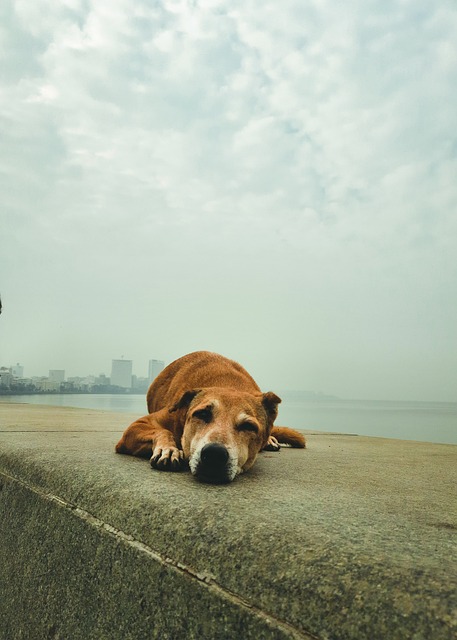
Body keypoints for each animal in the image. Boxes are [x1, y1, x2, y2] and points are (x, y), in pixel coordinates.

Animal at [116, 352, 304, 482]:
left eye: (248, 426)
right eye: (202, 413)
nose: (214, 454)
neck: (228, 384)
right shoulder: (138, 426)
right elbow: (162, 431)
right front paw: (168, 449)